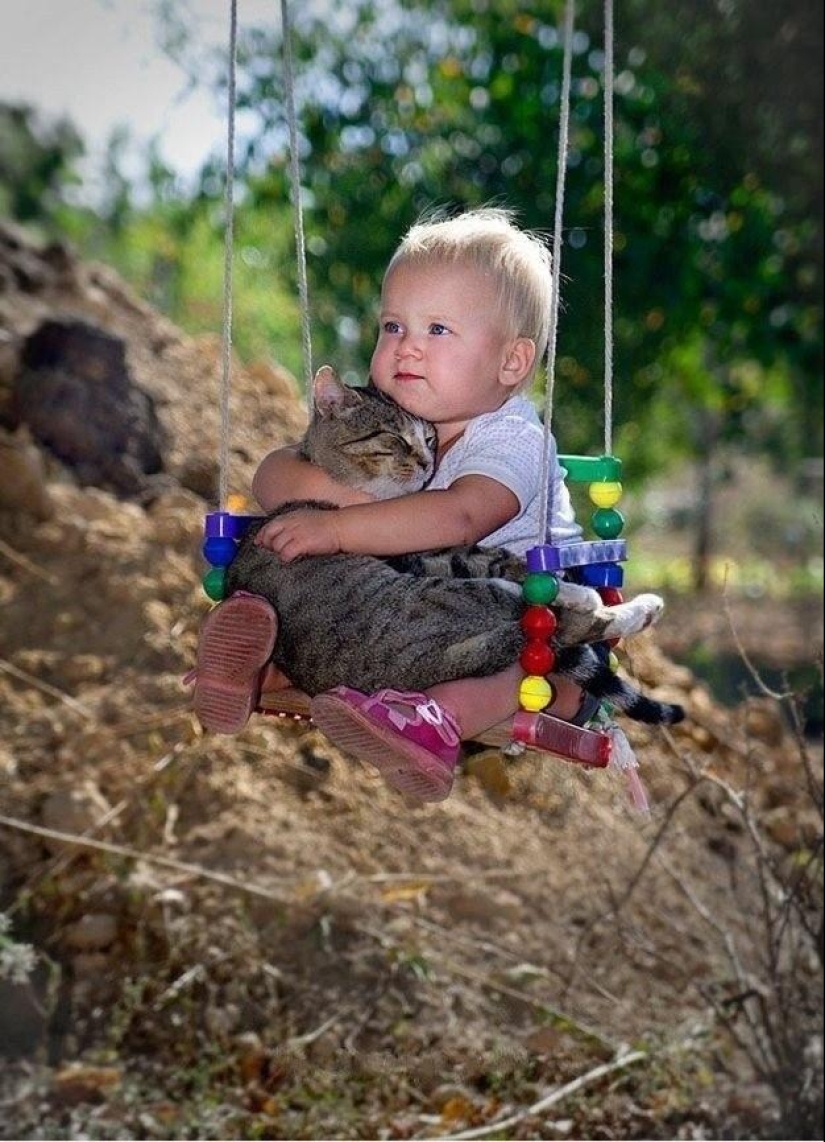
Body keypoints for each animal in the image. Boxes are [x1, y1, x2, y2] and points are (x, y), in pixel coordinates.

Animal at [222, 370, 681, 726]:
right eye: (394, 438)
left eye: (429, 438)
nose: (428, 462)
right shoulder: (426, 556)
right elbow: (503, 564)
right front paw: (575, 591)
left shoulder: (434, 551)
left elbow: (497, 559)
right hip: (448, 598)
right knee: (555, 621)